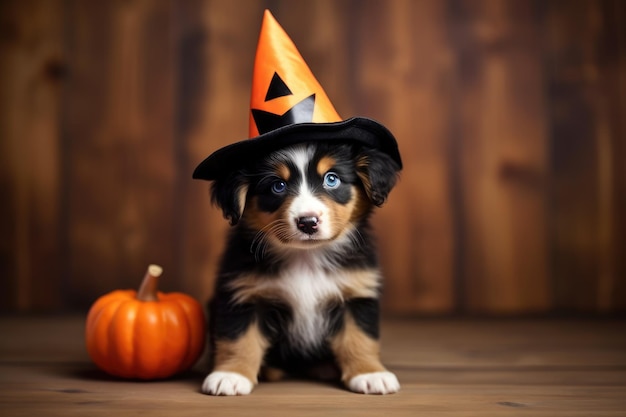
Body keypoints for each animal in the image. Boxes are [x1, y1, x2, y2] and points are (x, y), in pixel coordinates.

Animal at [201, 139, 400, 394]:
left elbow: (360, 337)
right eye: (278, 185)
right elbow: (238, 339)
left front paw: (370, 373)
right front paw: (230, 375)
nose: (308, 222)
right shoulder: (243, 295)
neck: (306, 258)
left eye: (332, 179)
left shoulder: (357, 294)